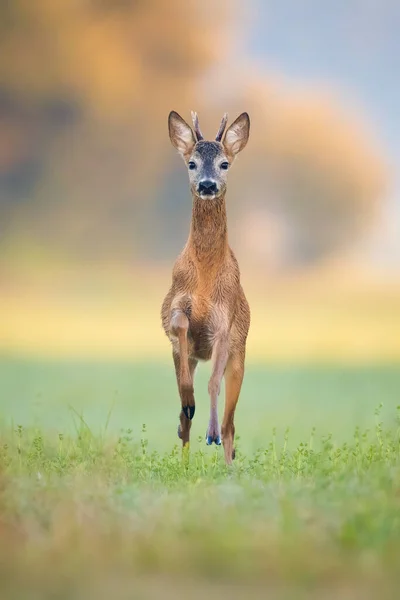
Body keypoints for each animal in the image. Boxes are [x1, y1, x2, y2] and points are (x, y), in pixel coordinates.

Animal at [160, 109, 250, 464]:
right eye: (191, 163)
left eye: (224, 163)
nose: (208, 185)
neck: (206, 278)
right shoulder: (174, 307)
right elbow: (181, 325)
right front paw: (188, 400)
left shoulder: (225, 323)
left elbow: (214, 384)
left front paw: (210, 433)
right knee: (185, 423)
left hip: (240, 357)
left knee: (231, 424)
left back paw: (226, 457)